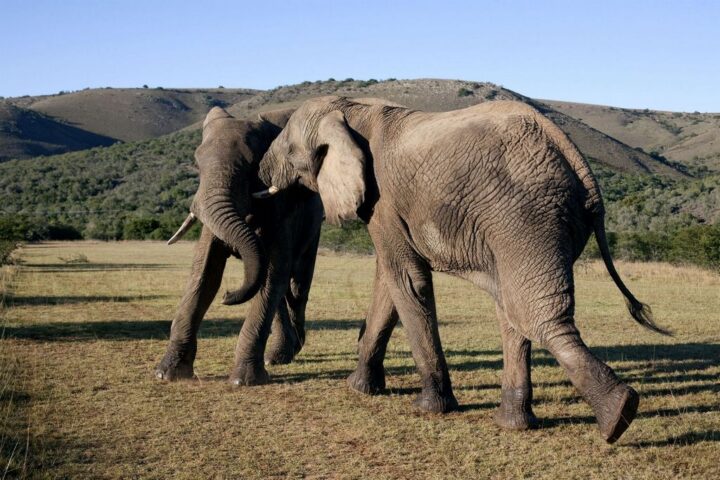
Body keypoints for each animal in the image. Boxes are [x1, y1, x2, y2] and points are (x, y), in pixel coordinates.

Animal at [158, 107, 326, 384]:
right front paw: (167, 374)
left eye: (252, 167)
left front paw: (244, 380)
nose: (227, 296)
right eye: (197, 165)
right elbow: (204, 273)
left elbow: (274, 273)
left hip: (313, 229)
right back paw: (279, 355)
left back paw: (290, 350)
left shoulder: (283, 209)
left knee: (296, 284)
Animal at [253, 94, 668, 442]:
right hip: (528, 227)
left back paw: (617, 415)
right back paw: (516, 423)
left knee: (533, 314)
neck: (351, 109)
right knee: (510, 308)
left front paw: (429, 408)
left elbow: (406, 280)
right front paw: (360, 388)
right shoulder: (384, 208)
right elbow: (390, 282)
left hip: (527, 217)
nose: (259, 173)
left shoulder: (384, 198)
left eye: (288, 148)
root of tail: (579, 164)